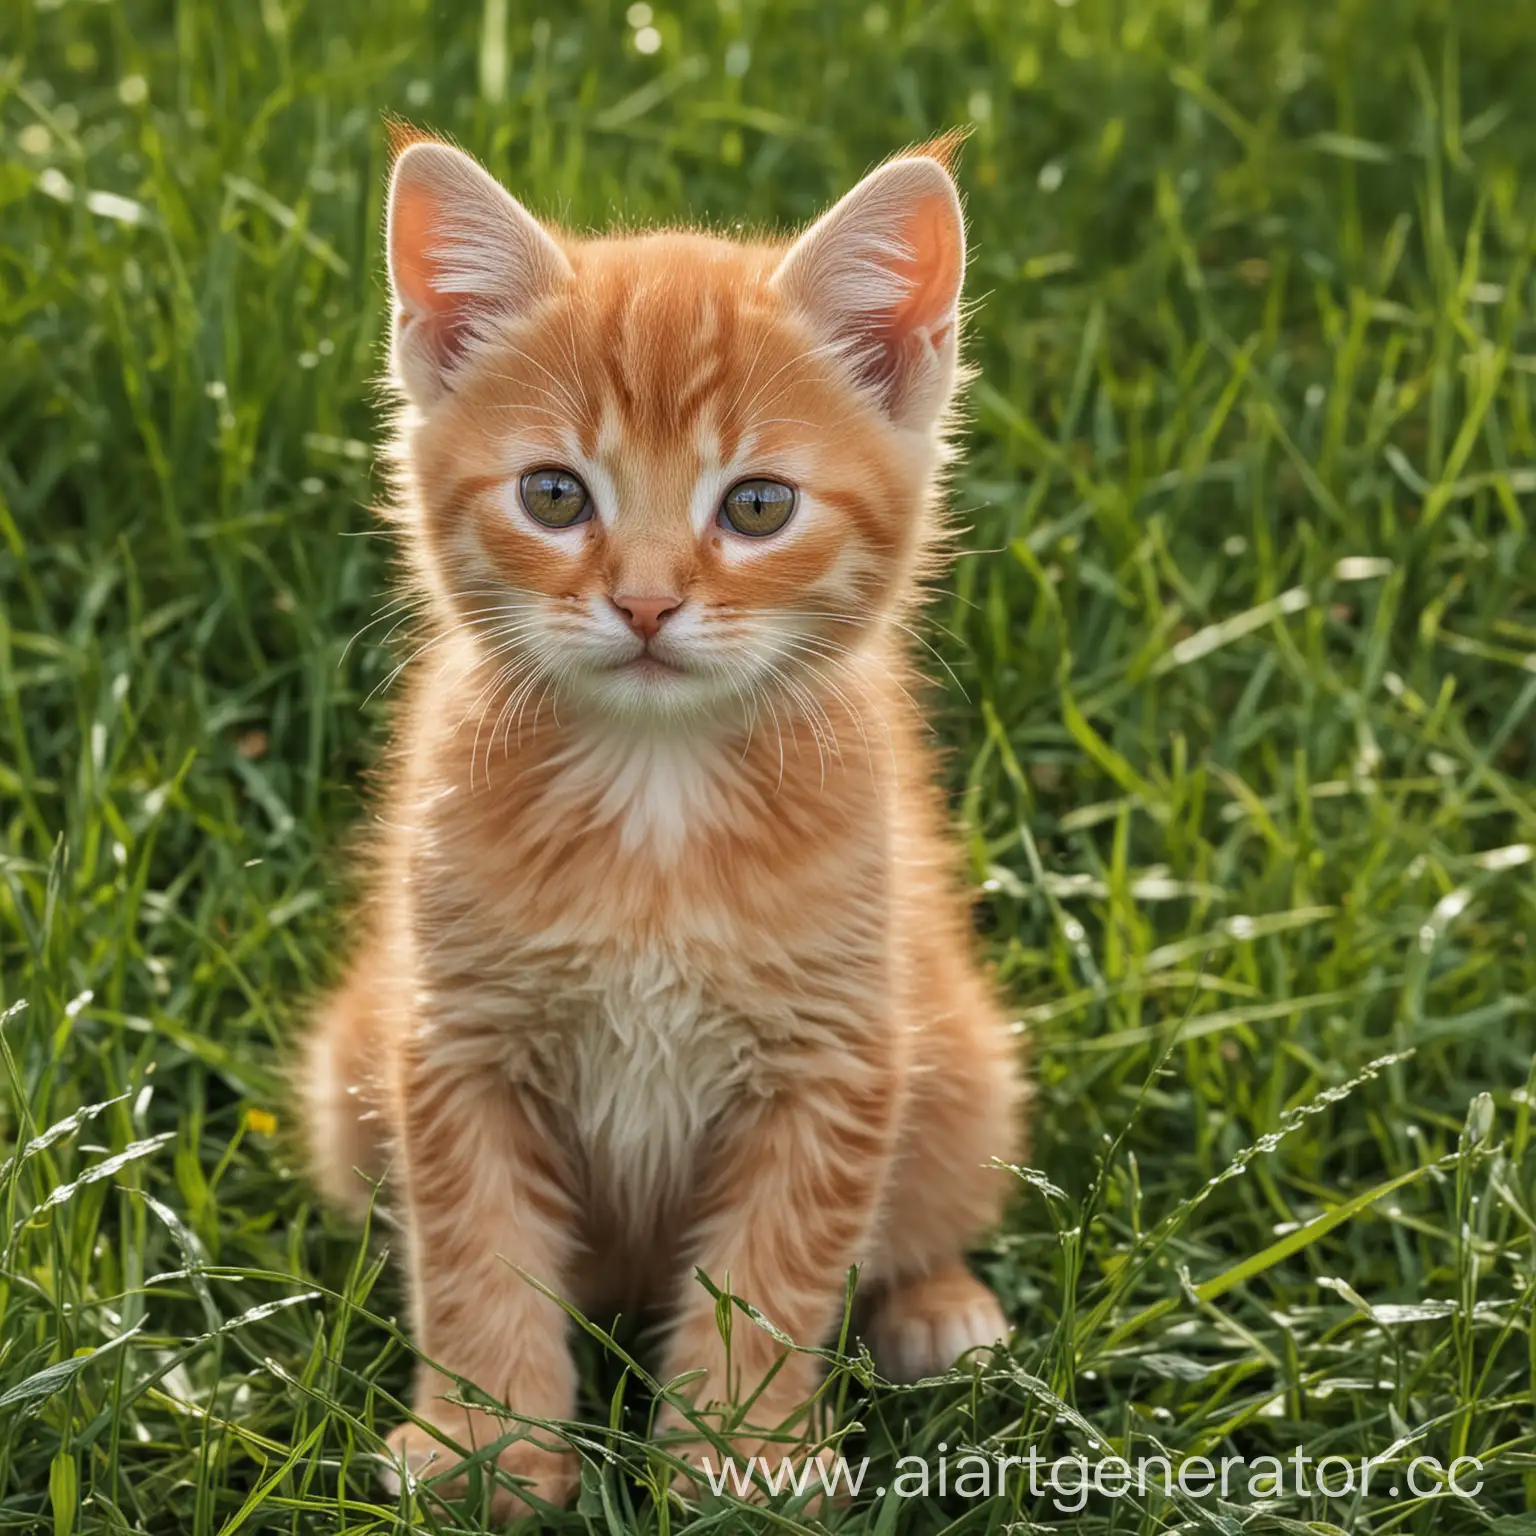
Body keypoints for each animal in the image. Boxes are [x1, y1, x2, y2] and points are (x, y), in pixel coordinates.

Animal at [301, 129, 1026, 1511]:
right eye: (553, 494)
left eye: (756, 507)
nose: (642, 604)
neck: (656, 789)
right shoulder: (457, 1040)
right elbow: (474, 1254)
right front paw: (487, 1448)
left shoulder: (836, 1055)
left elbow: (773, 1271)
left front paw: (741, 1456)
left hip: (959, 1054)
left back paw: (936, 1306)